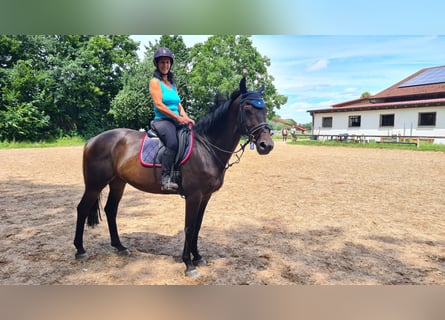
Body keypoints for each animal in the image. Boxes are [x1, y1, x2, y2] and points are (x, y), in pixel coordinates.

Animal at [73, 77, 274, 278]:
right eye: (247, 109)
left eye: (264, 110)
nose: (267, 145)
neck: (206, 147)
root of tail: (92, 141)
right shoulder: (193, 195)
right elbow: (189, 227)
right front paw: (189, 264)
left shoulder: (205, 196)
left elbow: (197, 226)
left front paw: (198, 257)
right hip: (95, 184)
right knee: (82, 209)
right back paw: (80, 250)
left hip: (118, 183)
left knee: (110, 210)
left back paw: (120, 247)